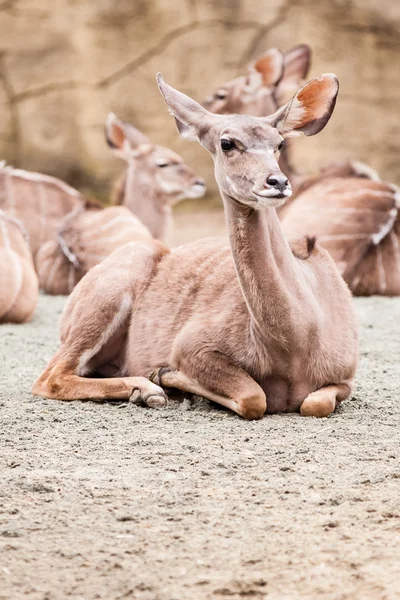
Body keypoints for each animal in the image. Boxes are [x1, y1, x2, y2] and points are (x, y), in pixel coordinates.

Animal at [32, 72, 358, 420]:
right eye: (227, 143)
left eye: (279, 143)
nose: (277, 182)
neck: (296, 338)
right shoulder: (191, 346)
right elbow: (254, 398)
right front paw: (165, 376)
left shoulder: (345, 375)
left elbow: (315, 403)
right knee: (50, 377)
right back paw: (148, 389)